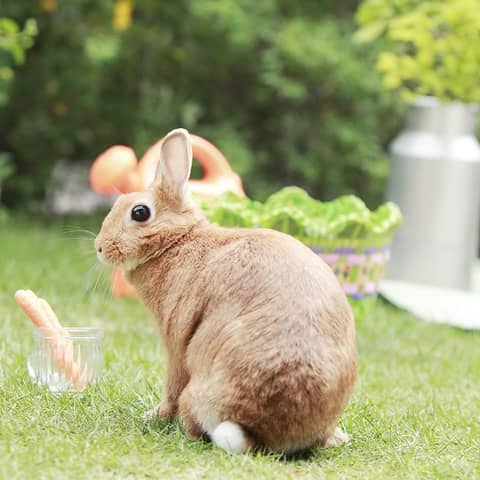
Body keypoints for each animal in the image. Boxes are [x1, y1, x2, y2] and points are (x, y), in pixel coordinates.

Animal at [94, 127, 356, 454]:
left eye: (140, 212)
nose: (100, 247)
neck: (177, 240)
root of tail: (258, 431)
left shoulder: (176, 341)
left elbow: (172, 383)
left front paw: (153, 416)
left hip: (197, 386)